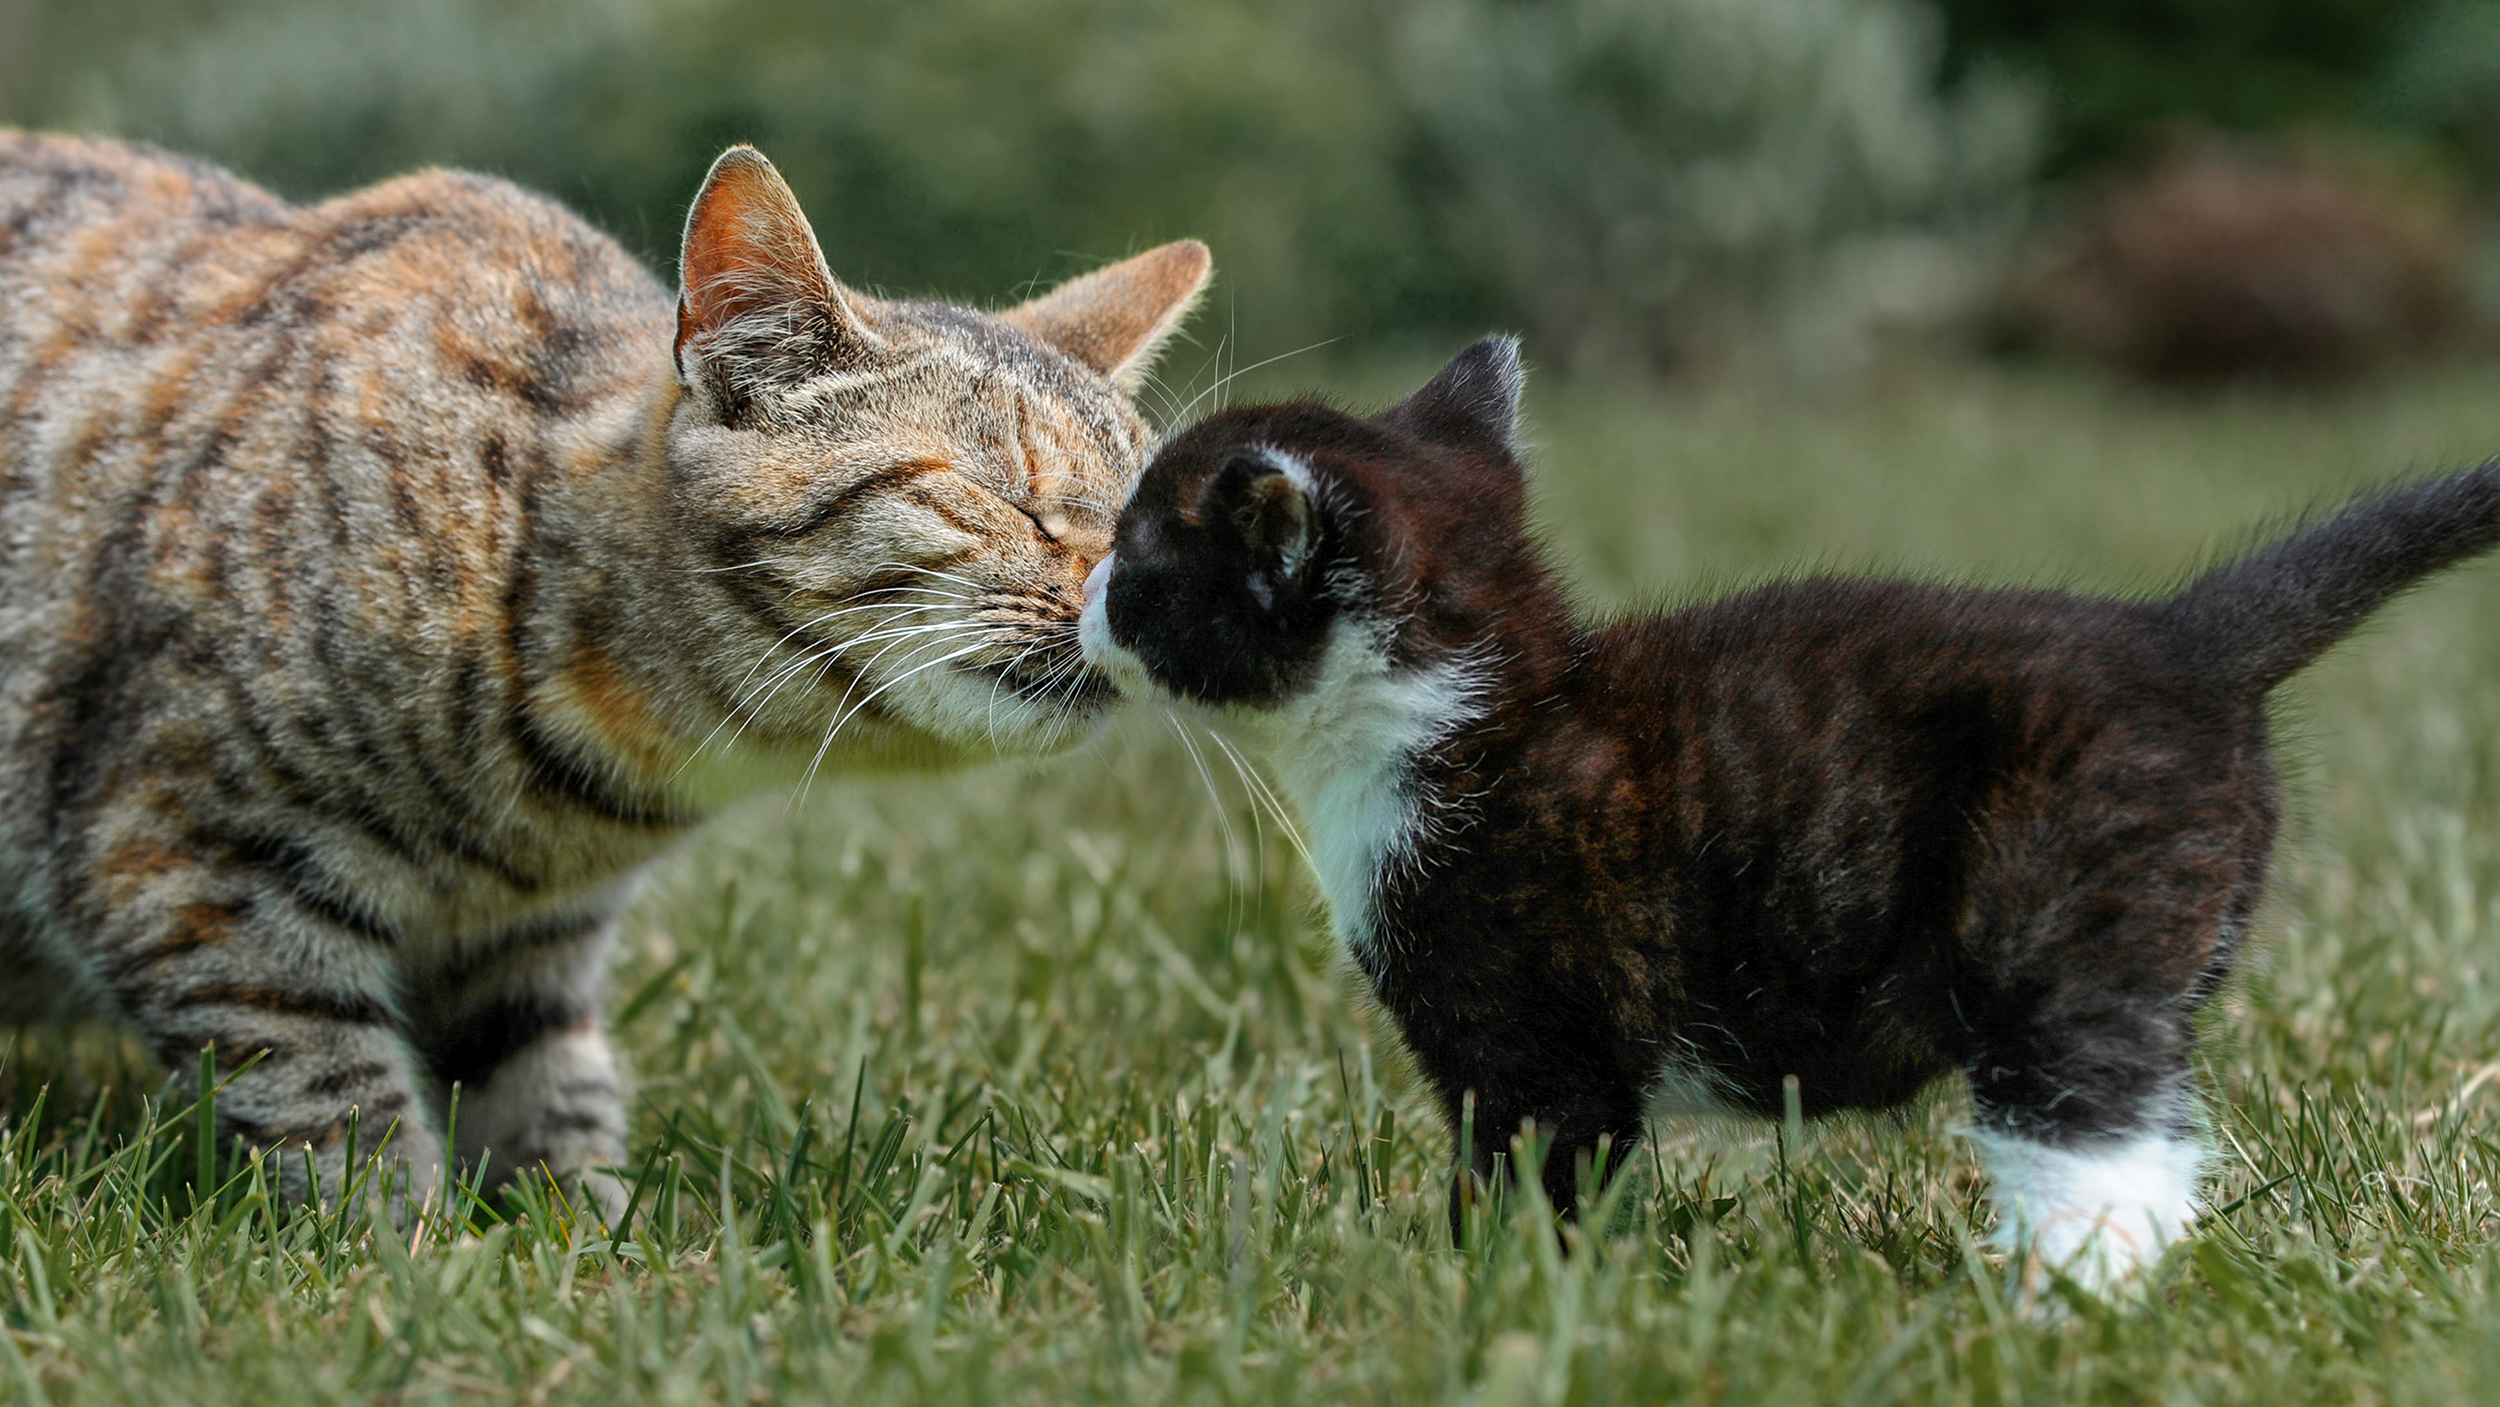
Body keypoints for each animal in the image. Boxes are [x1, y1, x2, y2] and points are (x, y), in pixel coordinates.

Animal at [0, 132, 1210, 1209]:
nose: (1137, 603)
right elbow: (335, 1105)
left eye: (1145, 521)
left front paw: (587, 1240)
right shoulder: (184, 860)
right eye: (1004, 495)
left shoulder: (529, 943)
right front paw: (404, 1253)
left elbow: (546, 1107)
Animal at [1080, 337, 2500, 1289]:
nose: (1085, 588)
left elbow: (1538, 1167)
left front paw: (1489, 1295)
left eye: (1140, 557)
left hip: (2055, 912)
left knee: (2089, 1120)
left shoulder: (1527, 1032)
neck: (1472, 706)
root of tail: (2183, 641)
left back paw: (2060, 1313)